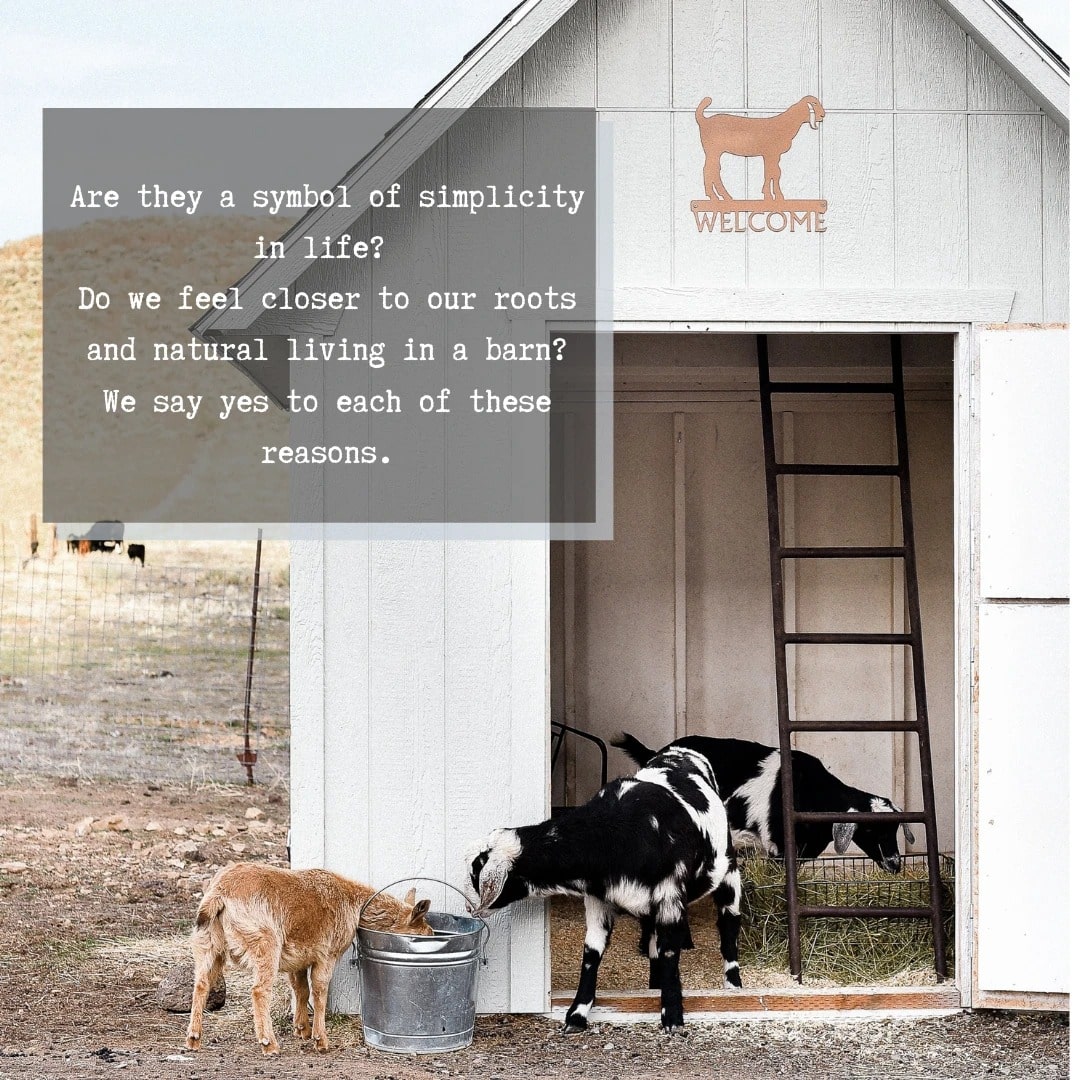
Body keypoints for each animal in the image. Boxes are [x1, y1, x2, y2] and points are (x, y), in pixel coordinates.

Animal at [184, 864, 429, 1058]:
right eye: (423, 934)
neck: (354, 904)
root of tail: (218, 895)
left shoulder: (299, 958)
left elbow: (301, 989)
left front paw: (302, 1029)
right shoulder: (327, 954)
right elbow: (319, 992)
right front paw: (320, 1040)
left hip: (207, 942)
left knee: (202, 983)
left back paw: (193, 1038)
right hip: (264, 941)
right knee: (259, 990)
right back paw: (269, 1044)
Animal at [464, 747, 743, 1032]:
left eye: (475, 873)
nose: (469, 908)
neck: (615, 834)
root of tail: (682, 751)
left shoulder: (669, 895)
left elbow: (669, 952)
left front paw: (673, 1017)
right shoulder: (599, 900)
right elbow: (592, 953)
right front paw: (577, 1014)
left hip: (729, 874)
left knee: (729, 928)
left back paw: (733, 985)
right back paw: (653, 987)